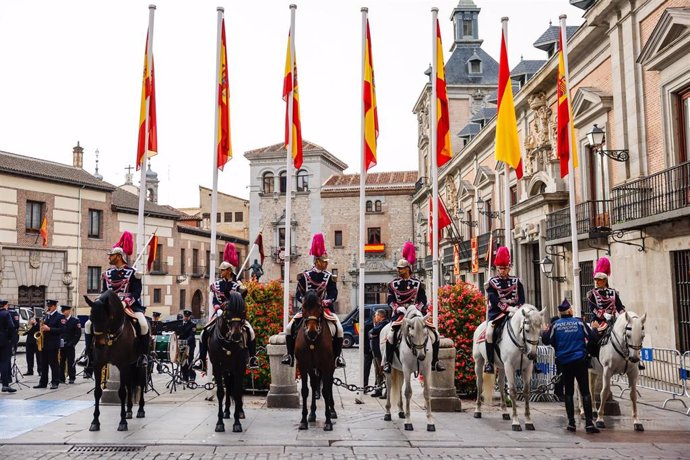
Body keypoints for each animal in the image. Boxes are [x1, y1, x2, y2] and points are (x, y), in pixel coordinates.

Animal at [83, 292, 148, 432]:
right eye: (91, 317)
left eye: (107, 317)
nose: (99, 344)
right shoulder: (98, 365)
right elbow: (97, 392)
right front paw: (95, 422)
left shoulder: (122, 366)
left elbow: (122, 392)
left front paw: (122, 422)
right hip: (130, 365)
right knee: (130, 385)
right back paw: (129, 410)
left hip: (140, 365)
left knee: (141, 383)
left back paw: (140, 409)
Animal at [208, 292, 249, 434]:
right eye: (227, 311)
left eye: (243, 310)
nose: (236, 335)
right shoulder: (217, 366)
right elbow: (221, 392)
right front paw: (219, 423)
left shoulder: (239, 366)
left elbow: (237, 392)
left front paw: (237, 423)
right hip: (226, 369)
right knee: (228, 386)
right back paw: (226, 412)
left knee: (237, 388)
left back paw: (240, 412)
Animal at [292, 292, 334, 432]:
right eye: (303, 307)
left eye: (320, 307)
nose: (311, 332)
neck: (313, 342)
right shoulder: (304, 366)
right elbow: (305, 391)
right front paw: (303, 420)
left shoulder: (326, 365)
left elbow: (326, 391)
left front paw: (328, 421)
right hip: (313, 368)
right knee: (314, 384)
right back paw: (312, 414)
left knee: (329, 385)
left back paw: (332, 411)